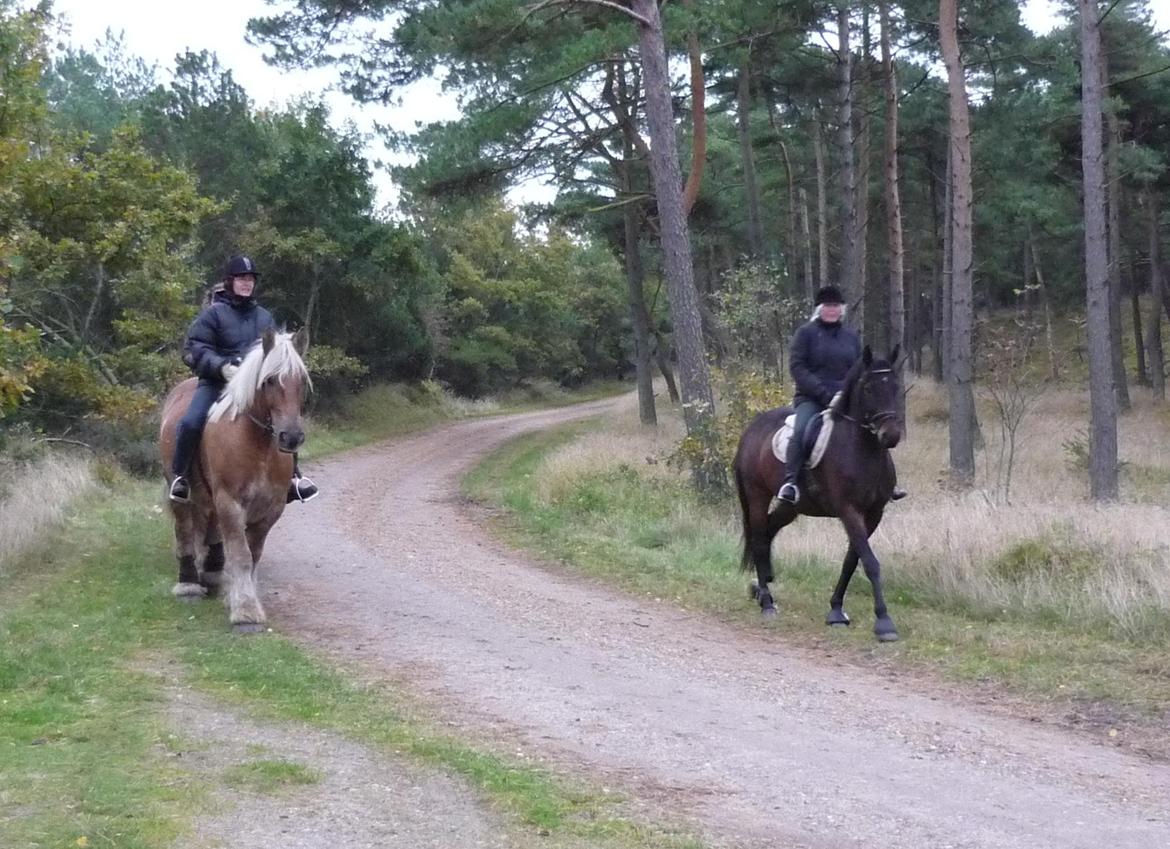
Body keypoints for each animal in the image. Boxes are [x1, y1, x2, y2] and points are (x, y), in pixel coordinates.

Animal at [162, 329, 315, 636]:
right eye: (269, 380)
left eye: (302, 382)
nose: (291, 437)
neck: (258, 445)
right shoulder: (230, 502)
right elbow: (242, 555)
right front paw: (245, 612)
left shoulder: (270, 509)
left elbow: (252, 555)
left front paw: (238, 596)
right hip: (181, 493)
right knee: (184, 531)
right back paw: (188, 584)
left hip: (209, 499)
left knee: (210, 530)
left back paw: (212, 573)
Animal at [730, 343, 903, 636]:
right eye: (868, 388)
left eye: (897, 386)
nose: (890, 435)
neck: (863, 450)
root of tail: (750, 430)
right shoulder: (849, 510)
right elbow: (870, 561)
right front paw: (884, 621)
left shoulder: (874, 513)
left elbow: (852, 560)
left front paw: (836, 610)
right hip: (756, 495)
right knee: (759, 538)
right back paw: (766, 602)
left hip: (791, 506)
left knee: (769, 530)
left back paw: (762, 586)